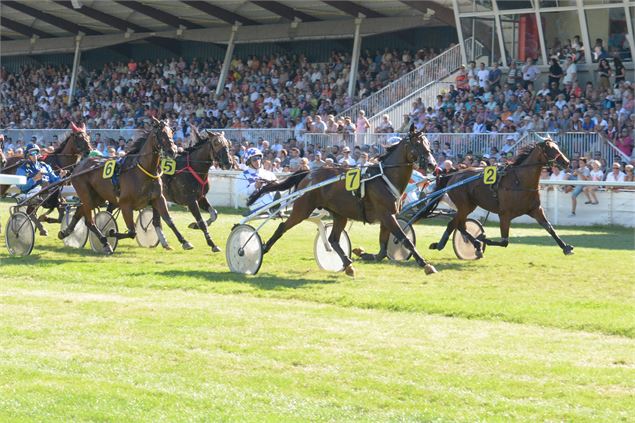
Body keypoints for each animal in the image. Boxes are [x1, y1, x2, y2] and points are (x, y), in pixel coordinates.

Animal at [60, 117, 191, 255]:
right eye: (160, 134)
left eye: (171, 132)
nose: (173, 151)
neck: (143, 170)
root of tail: (79, 166)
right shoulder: (125, 204)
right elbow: (132, 232)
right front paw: (111, 232)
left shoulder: (158, 198)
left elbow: (169, 220)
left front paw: (184, 241)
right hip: (85, 193)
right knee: (90, 221)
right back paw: (105, 242)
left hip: (97, 197)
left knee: (80, 211)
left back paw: (65, 232)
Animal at [250, 125, 442, 278]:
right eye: (417, 144)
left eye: (428, 144)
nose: (432, 165)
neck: (385, 177)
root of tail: (309, 173)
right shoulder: (387, 215)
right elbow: (405, 239)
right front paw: (426, 265)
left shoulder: (388, 217)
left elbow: (382, 249)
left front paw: (363, 253)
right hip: (302, 209)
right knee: (283, 227)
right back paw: (262, 249)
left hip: (339, 214)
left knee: (333, 239)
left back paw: (348, 264)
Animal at [430, 139, 572, 258]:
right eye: (550, 149)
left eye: (557, 147)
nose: (567, 162)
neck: (520, 182)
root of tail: (454, 175)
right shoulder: (504, 214)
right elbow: (504, 242)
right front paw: (482, 237)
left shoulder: (535, 209)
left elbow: (549, 228)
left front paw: (565, 247)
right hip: (465, 205)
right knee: (455, 224)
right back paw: (454, 244)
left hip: (468, 206)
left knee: (458, 224)